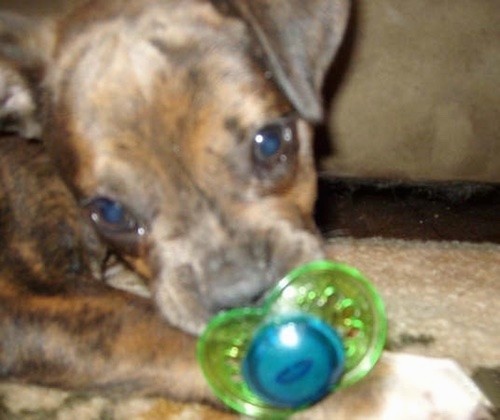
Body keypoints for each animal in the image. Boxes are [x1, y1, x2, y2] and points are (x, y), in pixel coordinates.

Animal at [0, 0, 492, 416]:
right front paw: (398, 386)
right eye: (109, 212)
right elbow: (160, 332)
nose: (242, 294)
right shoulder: (26, 305)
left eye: (270, 142)